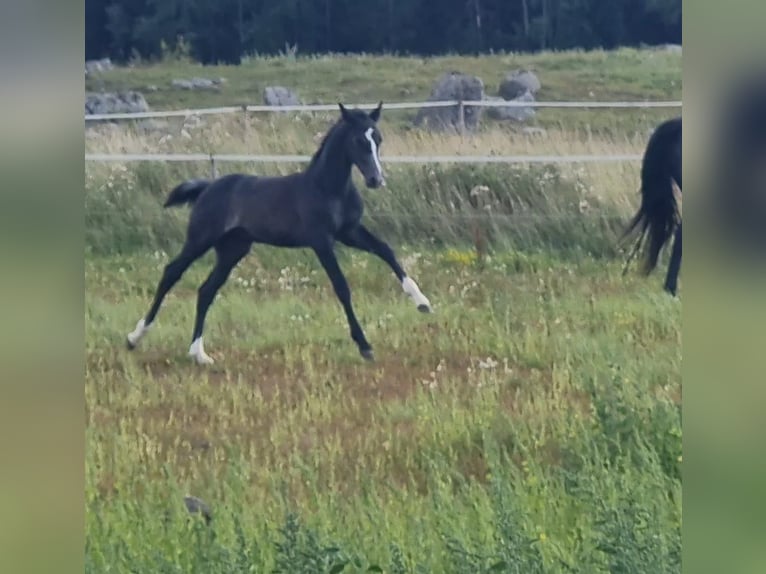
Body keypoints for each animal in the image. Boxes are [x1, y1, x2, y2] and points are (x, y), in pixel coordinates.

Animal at [129, 102, 436, 364]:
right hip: (200, 239)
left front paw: (422, 302)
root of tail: (207, 187)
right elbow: (342, 287)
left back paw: (198, 353)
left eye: (378, 139)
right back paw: (135, 337)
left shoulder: (349, 232)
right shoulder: (321, 241)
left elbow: (386, 250)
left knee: (206, 290)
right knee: (171, 273)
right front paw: (364, 345)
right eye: (358, 141)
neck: (328, 188)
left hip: (232, 250)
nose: (375, 180)